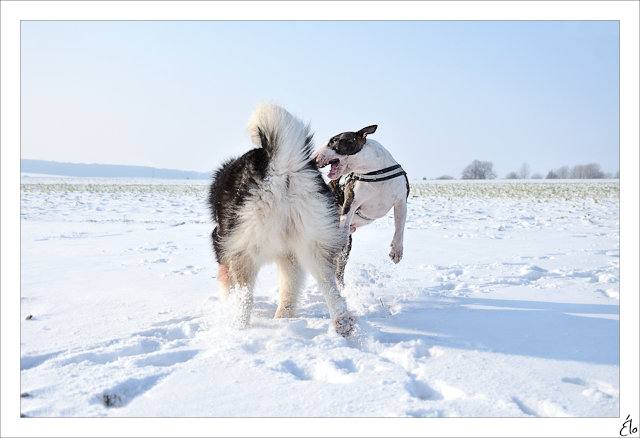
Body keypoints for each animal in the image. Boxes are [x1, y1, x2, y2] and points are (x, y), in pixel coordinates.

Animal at [208, 102, 352, 336]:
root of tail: (283, 166)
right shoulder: (290, 256)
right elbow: (289, 289)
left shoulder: (227, 248)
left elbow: (227, 285)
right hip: (313, 244)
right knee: (329, 286)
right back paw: (342, 321)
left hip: (246, 248)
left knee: (245, 298)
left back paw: (239, 328)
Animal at [314, 126, 410, 288]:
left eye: (333, 141)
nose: (313, 158)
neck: (374, 171)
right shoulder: (350, 202)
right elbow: (345, 222)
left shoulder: (401, 202)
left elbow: (399, 229)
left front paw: (397, 251)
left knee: (338, 269)